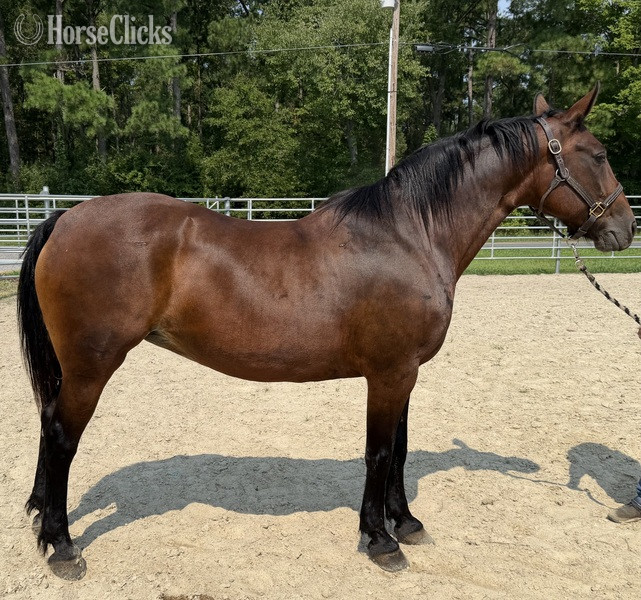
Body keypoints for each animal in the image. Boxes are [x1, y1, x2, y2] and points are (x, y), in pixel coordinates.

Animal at [17, 86, 636, 579]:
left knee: (49, 424)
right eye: (599, 155)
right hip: (93, 365)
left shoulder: (404, 375)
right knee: (62, 437)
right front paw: (379, 540)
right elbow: (380, 453)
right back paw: (61, 547)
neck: (410, 235)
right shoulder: (389, 374)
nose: (624, 227)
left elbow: (401, 451)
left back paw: (41, 517)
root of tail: (66, 216)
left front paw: (405, 522)